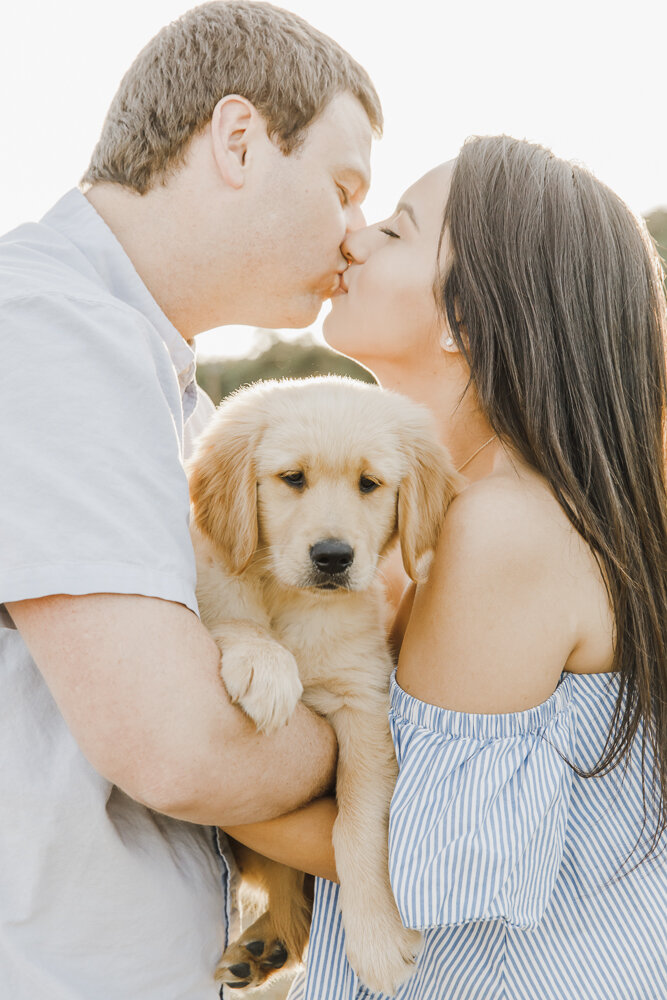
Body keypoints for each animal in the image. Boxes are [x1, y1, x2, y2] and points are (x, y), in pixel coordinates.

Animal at [187, 378, 460, 996]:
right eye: (293, 478)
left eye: (369, 484)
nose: (333, 557)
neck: (294, 602)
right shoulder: (214, 588)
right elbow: (232, 617)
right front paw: (267, 665)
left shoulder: (364, 703)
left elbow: (358, 821)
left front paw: (379, 939)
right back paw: (262, 946)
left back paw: (264, 946)